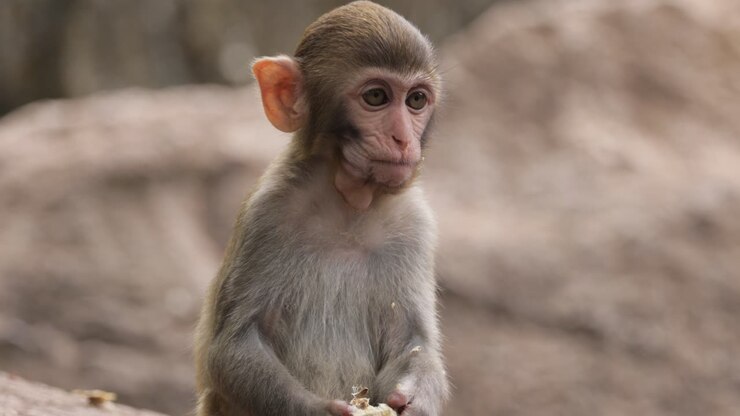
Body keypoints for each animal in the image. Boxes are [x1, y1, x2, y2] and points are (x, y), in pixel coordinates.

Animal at [194, 2, 448, 415]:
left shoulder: (414, 224)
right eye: (376, 97)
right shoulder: (266, 214)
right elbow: (231, 350)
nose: (402, 139)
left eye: (415, 100)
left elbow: (412, 341)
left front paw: (415, 400)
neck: (347, 207)